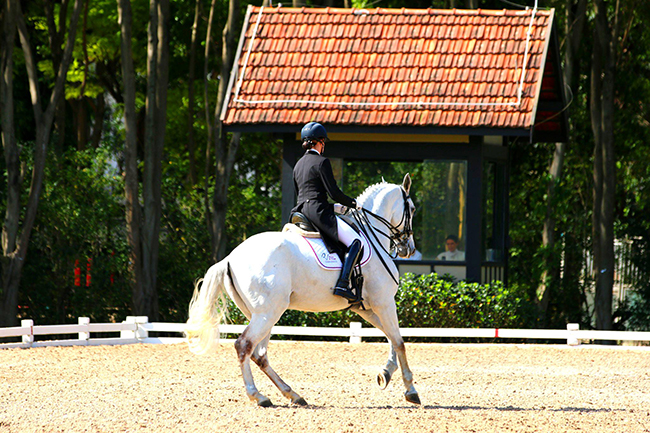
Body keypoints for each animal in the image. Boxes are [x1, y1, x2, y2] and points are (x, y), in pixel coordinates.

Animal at [186, 172, 420, 404]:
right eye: (412, 208)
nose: (408, 249)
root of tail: (229, 258)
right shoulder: (384, 302)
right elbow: (399, 341)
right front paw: (410, 390)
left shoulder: (366, 307)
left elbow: (391, 337)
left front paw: (386, 374)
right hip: (268, 312)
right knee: (245, 345)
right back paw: (257, 395)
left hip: (260, 314)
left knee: (259, 354)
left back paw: (292, 394)